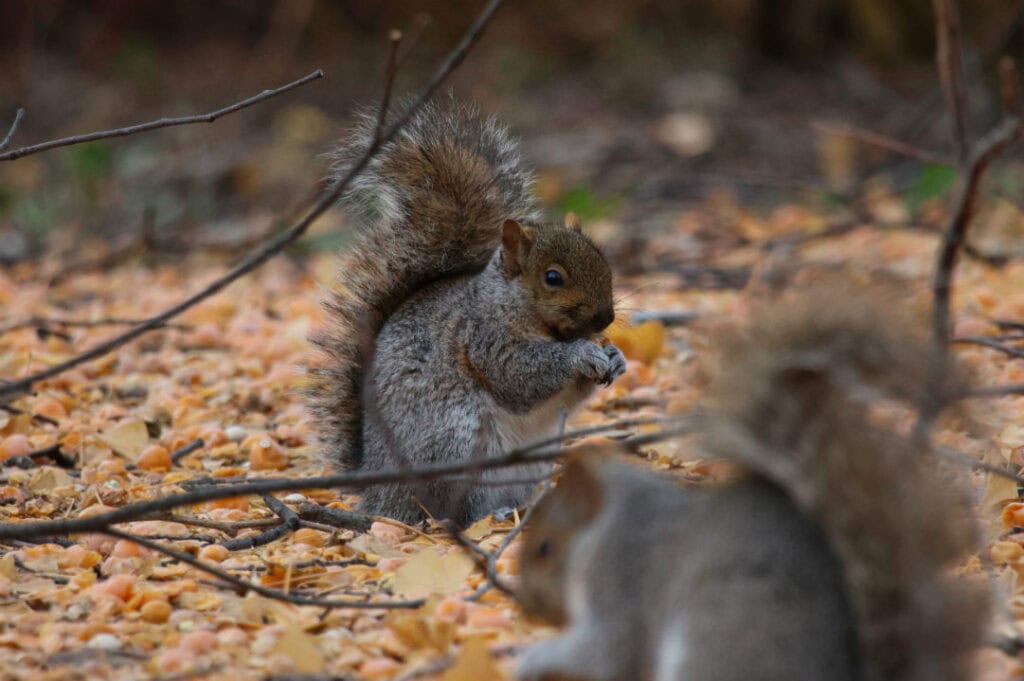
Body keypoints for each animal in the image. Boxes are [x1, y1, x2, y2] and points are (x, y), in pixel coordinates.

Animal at [307, 99, 626, 525]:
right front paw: (582, 354)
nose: (605, 320)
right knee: (454, 509)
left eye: (604, 262)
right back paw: (493, 515)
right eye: (553, 277)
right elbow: (520, 375)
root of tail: (379, 496)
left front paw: (615, 356)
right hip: (456, 447)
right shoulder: (484, 341)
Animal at [516, 287, 987, 681]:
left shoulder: (622, 577)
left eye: (545, 548)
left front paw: (531, 657)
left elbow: (608, 652)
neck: (609, 522)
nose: (528, 607)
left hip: (717, 645)